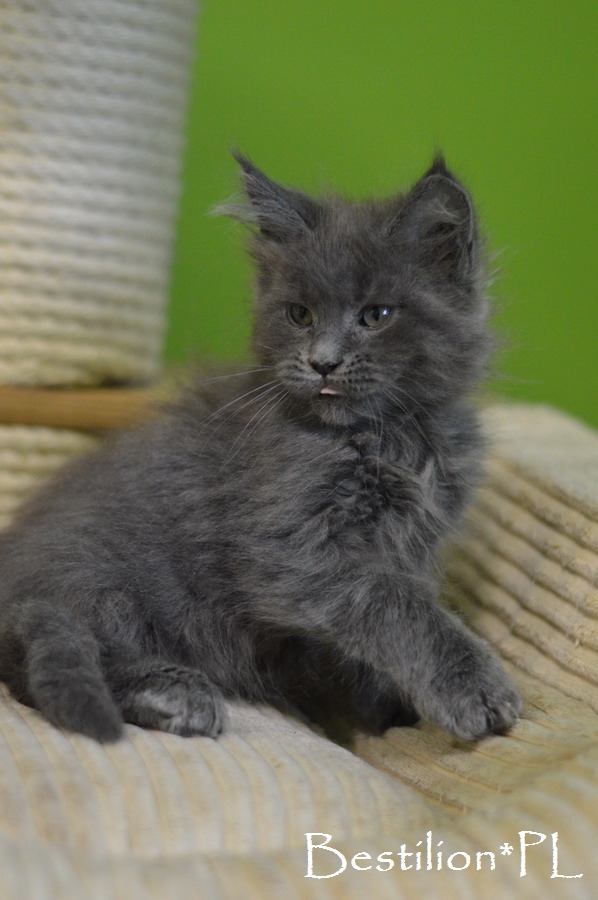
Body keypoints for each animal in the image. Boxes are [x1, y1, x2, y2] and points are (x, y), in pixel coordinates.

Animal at [0, 154, 521, 743]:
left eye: (377, 316)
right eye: (300, 315)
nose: (322, 362)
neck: (391, 437)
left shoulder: (414, 546)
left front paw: (384, 708)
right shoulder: (288, 548)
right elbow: (398, 607)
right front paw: (472, 689)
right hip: (107, 588)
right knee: (49, 662)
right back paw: (174, 693)